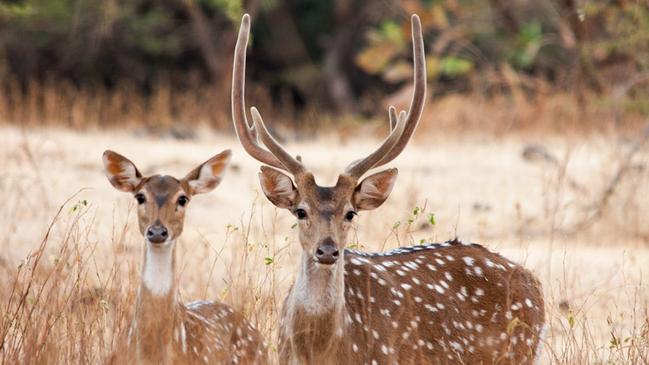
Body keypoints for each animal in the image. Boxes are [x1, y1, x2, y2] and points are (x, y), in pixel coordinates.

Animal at [230, 12, 544, 362]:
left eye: (350, 213)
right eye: (300, 211)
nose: (327, 250)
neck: (323, 350)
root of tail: (534, 282)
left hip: (519, 351)